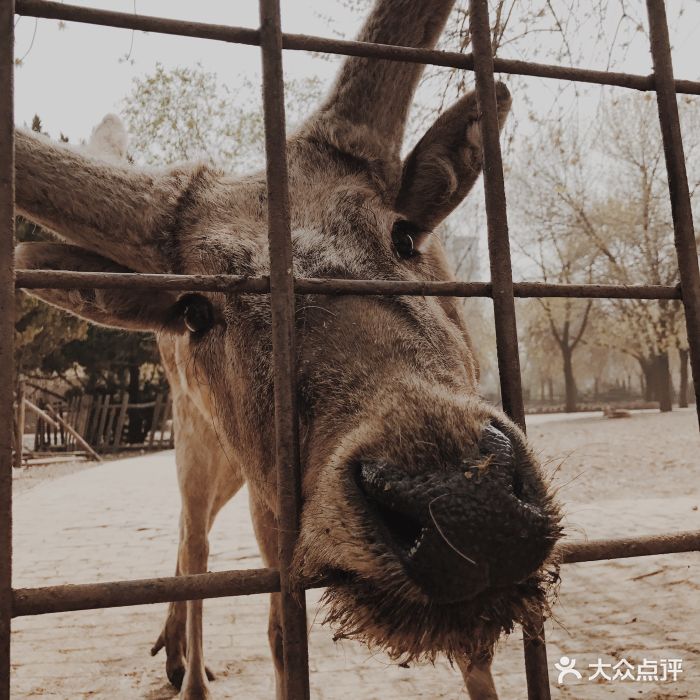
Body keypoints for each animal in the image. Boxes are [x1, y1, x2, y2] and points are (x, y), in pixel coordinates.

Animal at [12, 2, 564, 696]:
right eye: (196, 310)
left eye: (404, 236)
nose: (463, 504)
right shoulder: (274, 508)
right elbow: (279, 631)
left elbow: (478, 655)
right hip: (197, 436)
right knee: (196, 541)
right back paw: (188, 672)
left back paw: (172, 649)